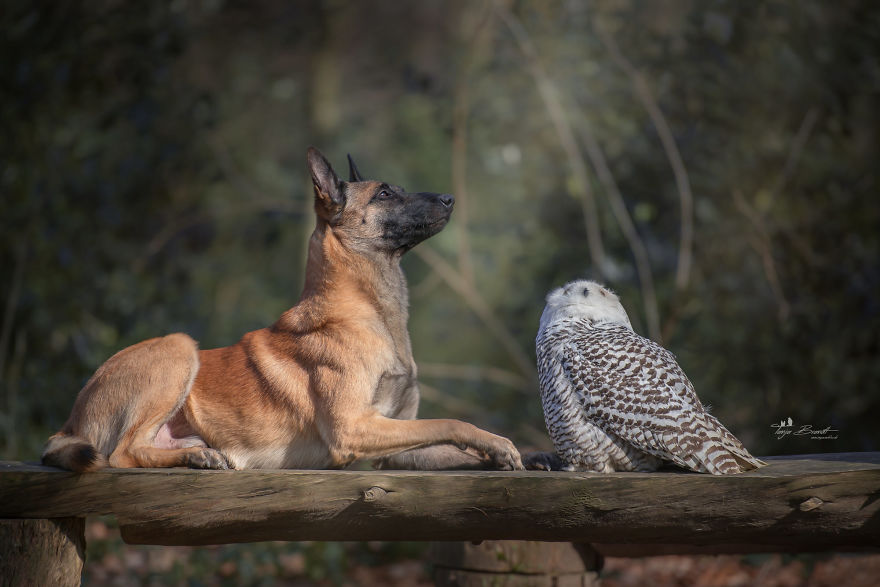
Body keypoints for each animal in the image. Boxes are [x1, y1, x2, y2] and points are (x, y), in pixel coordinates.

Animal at [43, 148, 524, 474]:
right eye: (385, 194)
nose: (449, 198)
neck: (370, 311)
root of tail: (69, 422)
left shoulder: (395, 441)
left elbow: (449, 444)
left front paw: (521, 456)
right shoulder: (354, 428)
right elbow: (452, 421)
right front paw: (498, 442)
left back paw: (198, 453)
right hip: (177, 348)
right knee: (123, 453)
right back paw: (197, 457)